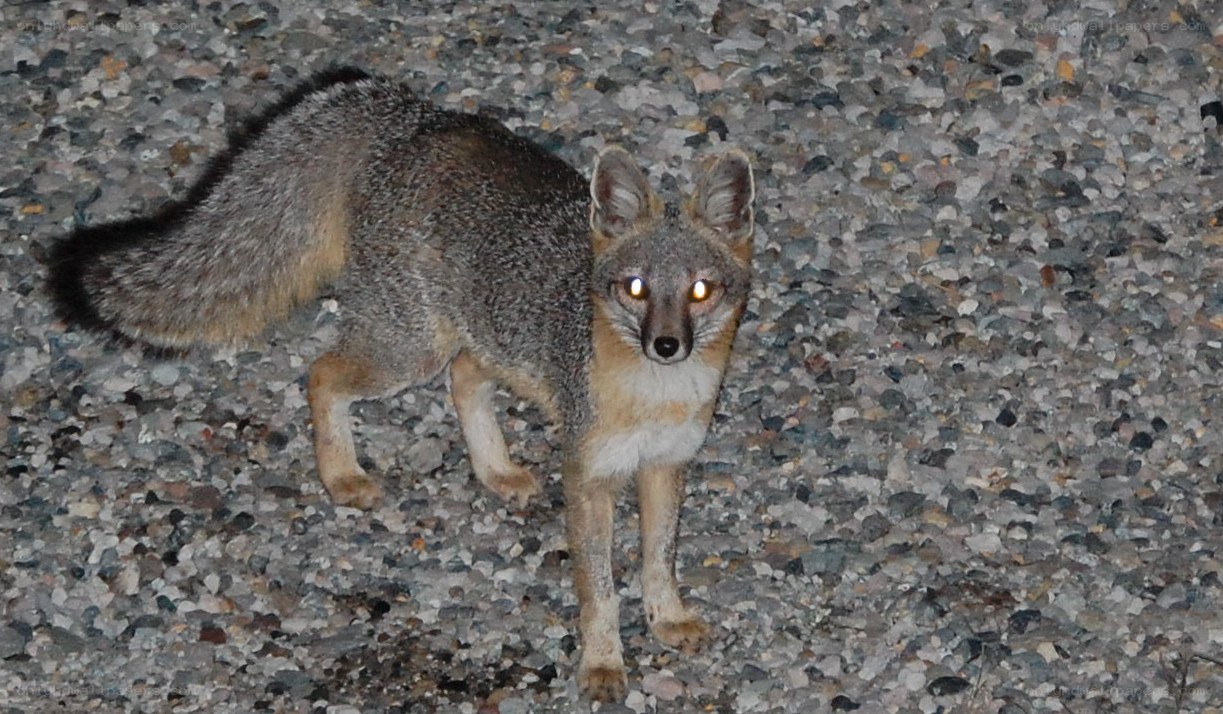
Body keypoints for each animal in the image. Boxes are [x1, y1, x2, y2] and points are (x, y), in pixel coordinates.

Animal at [47, 68, 756, 702]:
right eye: (635, 288)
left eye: (700, 291)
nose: (666, 345)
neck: (655, 397)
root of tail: (417, 116)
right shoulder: (587, 475)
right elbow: (599, 588)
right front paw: (603, 663)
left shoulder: (666, 466)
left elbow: (658, 560)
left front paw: (666, 618)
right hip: (408, 349)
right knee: (323, 373)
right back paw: (342, 475)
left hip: (477, 339)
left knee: (461, 377)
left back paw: (494, 470)